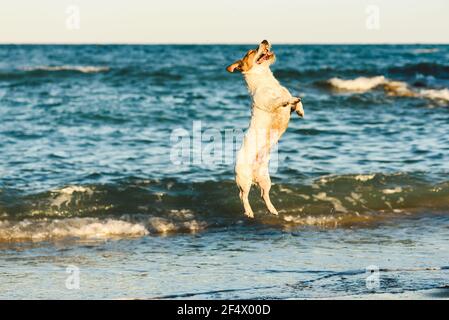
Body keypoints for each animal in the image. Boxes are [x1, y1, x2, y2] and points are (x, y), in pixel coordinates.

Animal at [226, 40, 302, 219]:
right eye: (251, 51)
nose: (265, 41)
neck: (266, 81)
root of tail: (254, 176)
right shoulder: (269, 102)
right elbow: (281, 99)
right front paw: (288, 100)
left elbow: (295, 102)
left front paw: (300, 109)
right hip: (244, 179)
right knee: (243, 196)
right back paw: (249, 211)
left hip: (266, 180)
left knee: (263, 195)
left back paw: (272, 209)